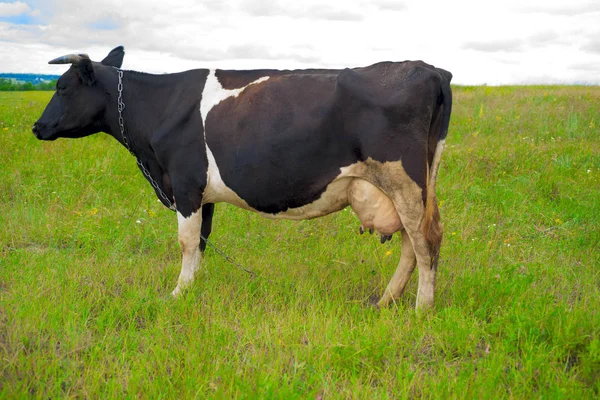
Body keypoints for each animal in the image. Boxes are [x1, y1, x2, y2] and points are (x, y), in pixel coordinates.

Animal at [32, 46, 452, 310]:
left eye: (62, 87)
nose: (37, 127)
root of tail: (433, 70)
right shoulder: (202, 195)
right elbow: (201, 242)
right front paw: (192, 289)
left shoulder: (185, 184)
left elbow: (186, 242)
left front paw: (176, 294)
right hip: (408, 185)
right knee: (411, 245)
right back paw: (386, 301)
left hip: (404, 180)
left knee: (425, 240)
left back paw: (422, 309)